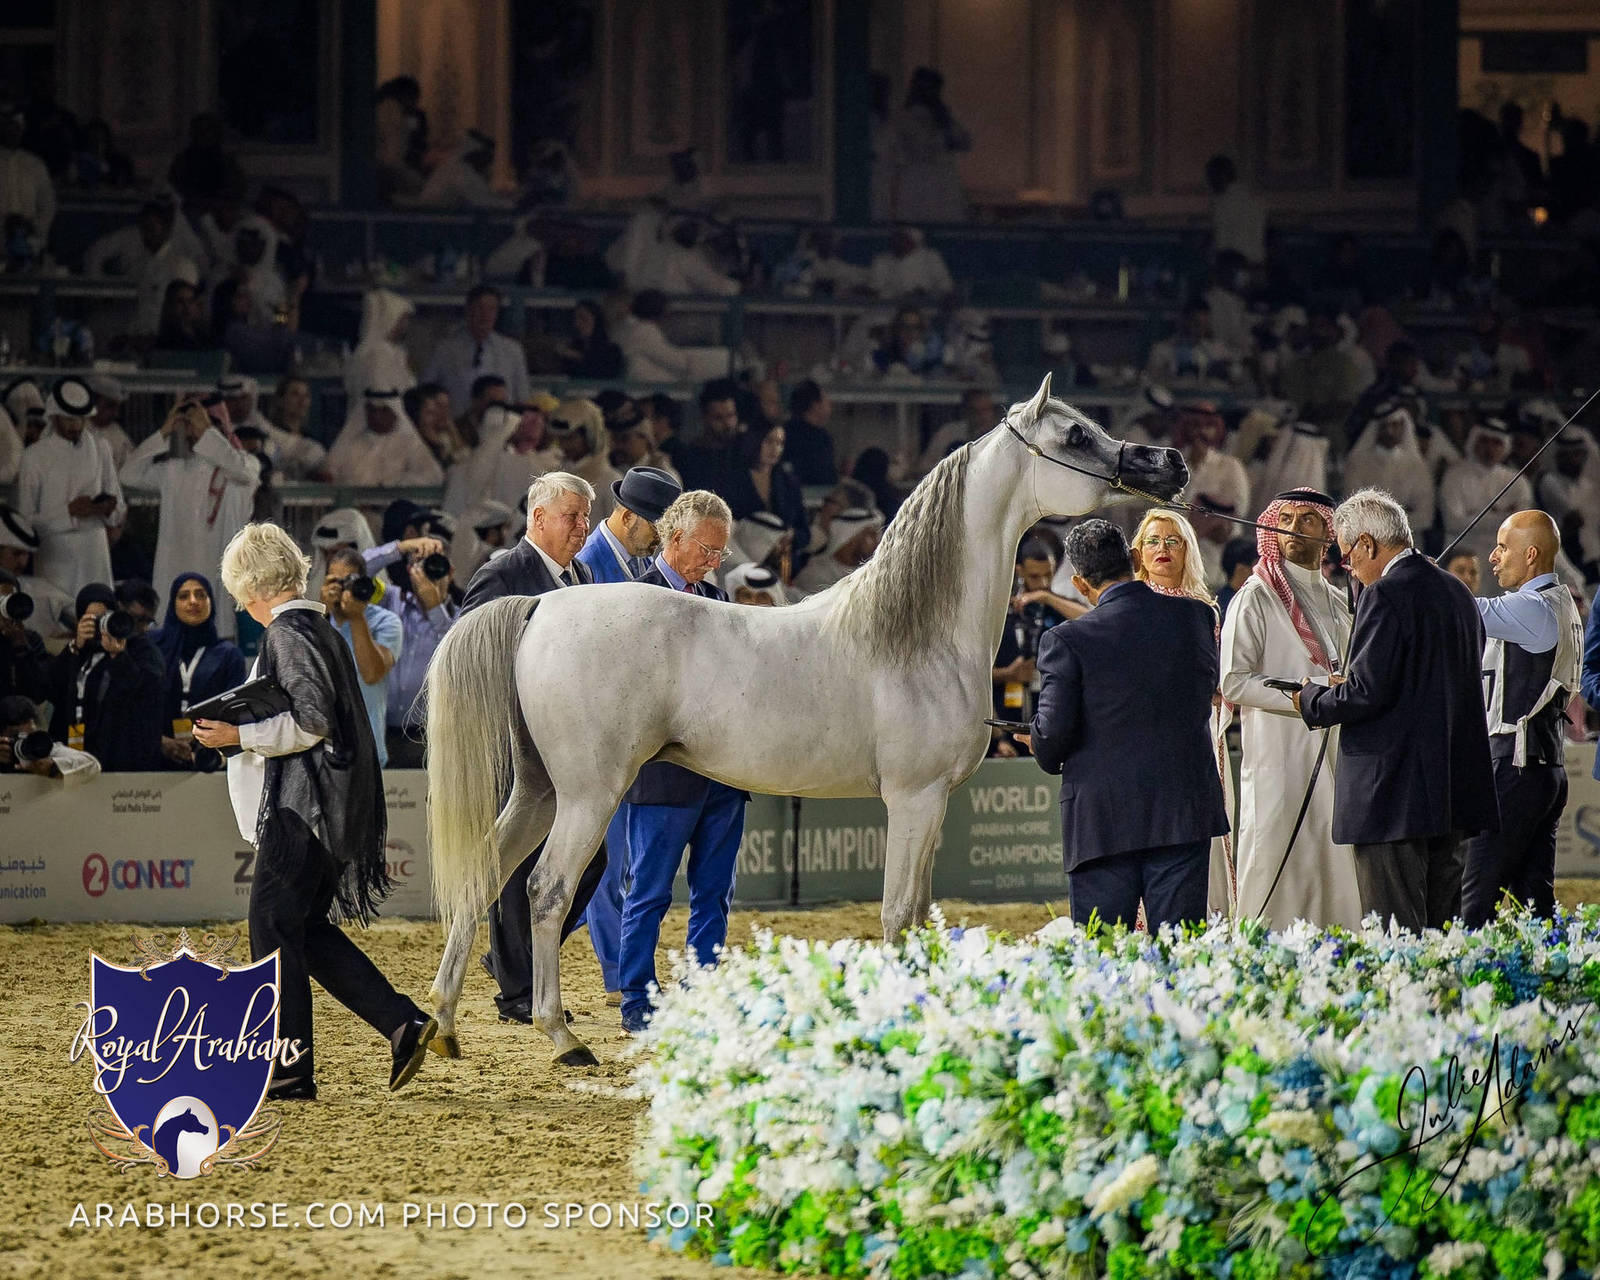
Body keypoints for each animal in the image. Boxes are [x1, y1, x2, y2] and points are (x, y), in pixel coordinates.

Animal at [422, 373, 1188, 1066]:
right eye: (1075, 436)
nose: (1170, 462)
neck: (917, 633)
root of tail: (541, 607)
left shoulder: (935, 804)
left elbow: (921, 914)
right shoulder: (912, 800)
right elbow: (897, 914)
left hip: (539, 790)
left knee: (484, 875)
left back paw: (444, 1026)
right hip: (587, 795)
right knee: (546, 891)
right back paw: (561, 1037)